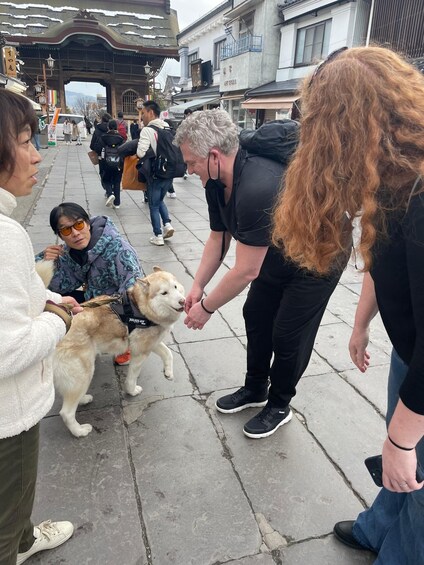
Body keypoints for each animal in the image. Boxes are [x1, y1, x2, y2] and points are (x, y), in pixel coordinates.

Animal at [52, 268, 185, 436]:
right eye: (164, 293)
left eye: (175, 287)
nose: (183, 301)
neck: (140, 308)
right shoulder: (140, 353)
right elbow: (131, 378)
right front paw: (132, 391)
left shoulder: (151, 343)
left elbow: (168, 353)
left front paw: (168, 372)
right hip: (83, 373)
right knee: (66, 412)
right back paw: (79, 431)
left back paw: (83, 399)